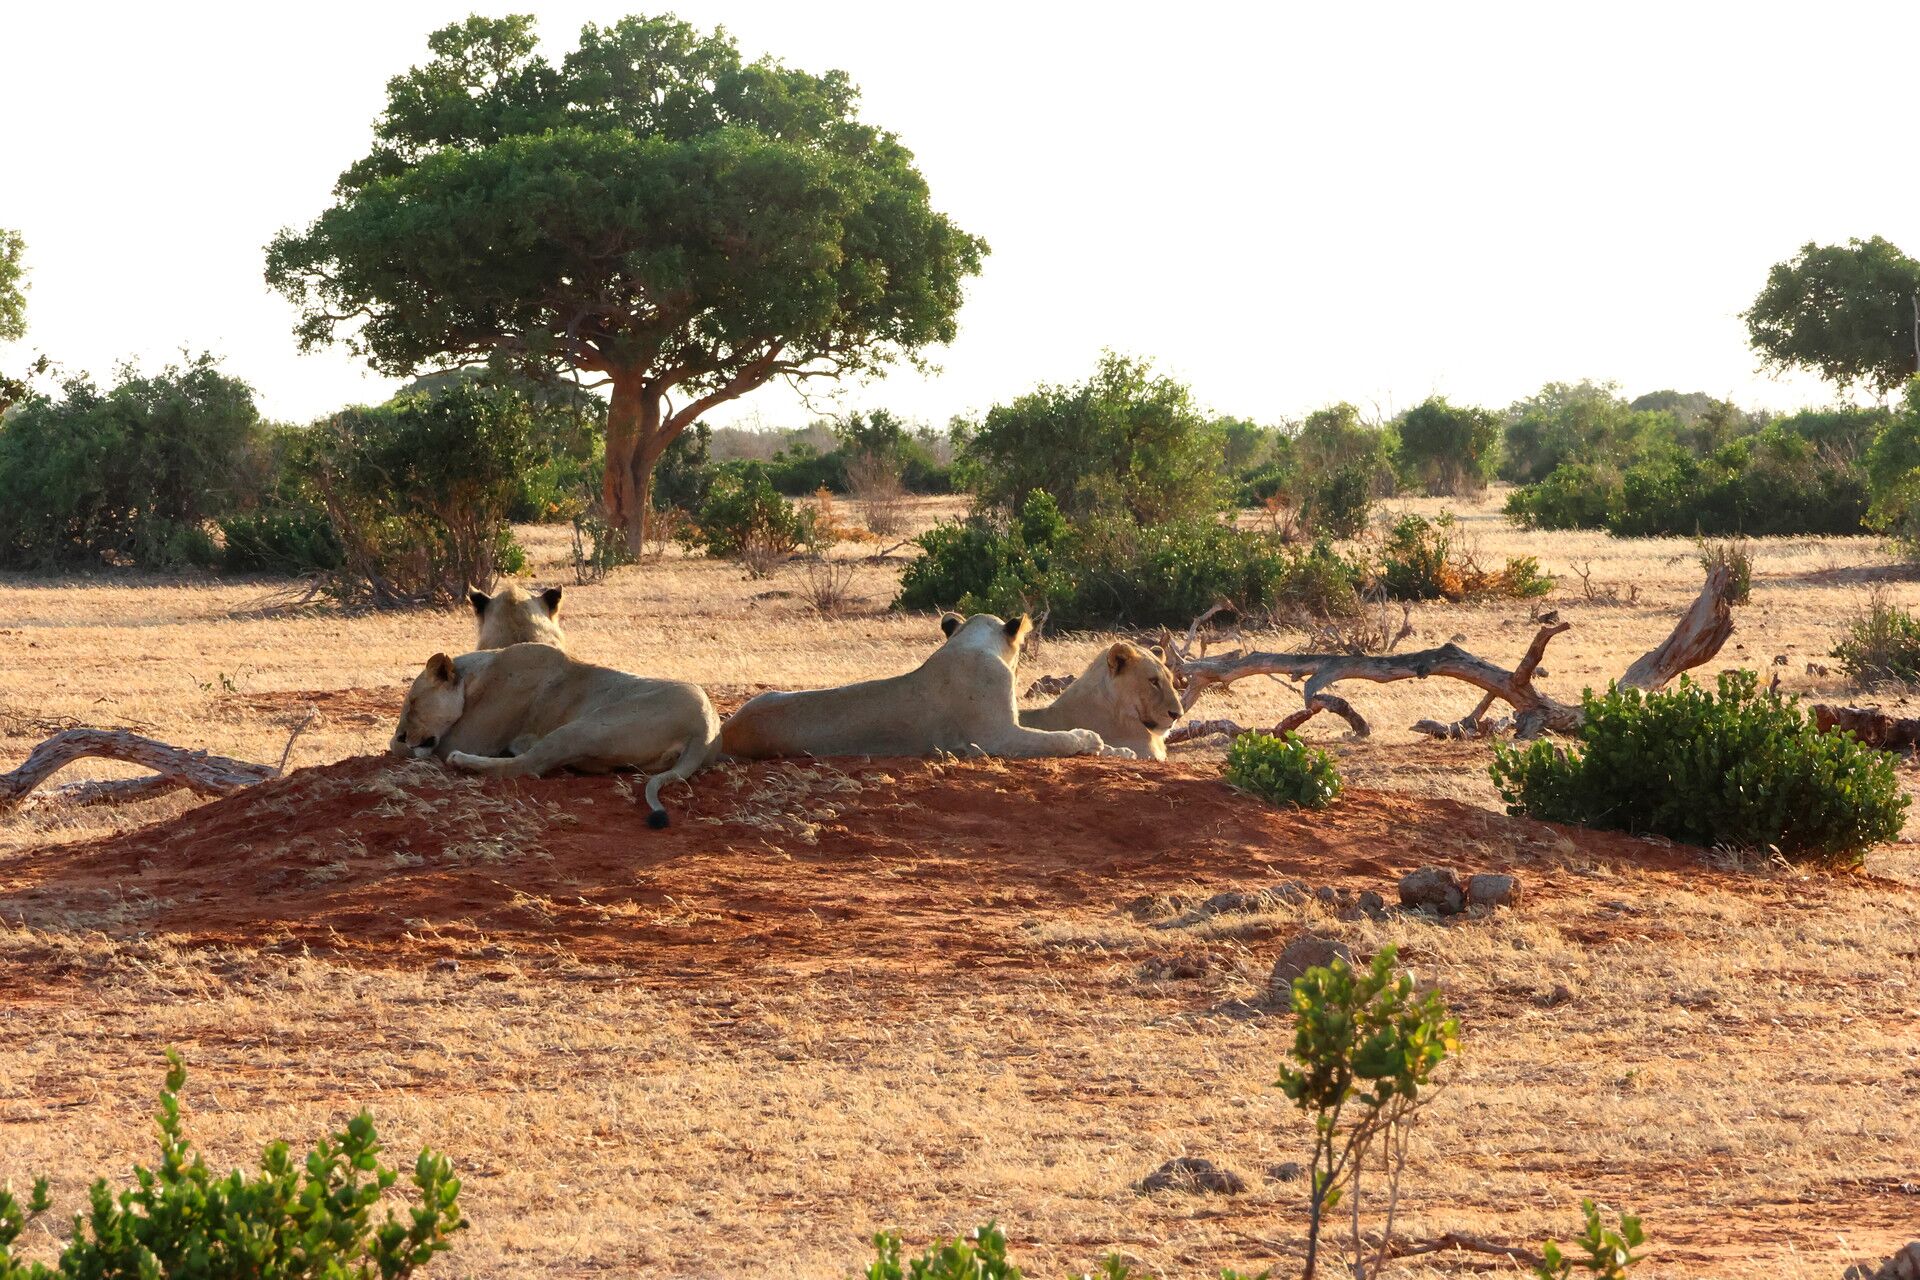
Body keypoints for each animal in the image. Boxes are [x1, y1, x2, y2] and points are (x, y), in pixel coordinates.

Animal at [389, 642, 719, 829]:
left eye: (413, 703)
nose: (405, 734)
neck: (472, 678)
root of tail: (705, 725)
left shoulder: (469, 738)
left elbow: (399, 748)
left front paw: (401, 743)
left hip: (585, 727)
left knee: (527, 766)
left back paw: (464, 761)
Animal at [720, 612, 1135, 760]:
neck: (969, 644)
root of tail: (727, 731)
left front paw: (1121, 750)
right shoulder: (997, 736)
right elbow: (1058, 739)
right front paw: (1091, 739)